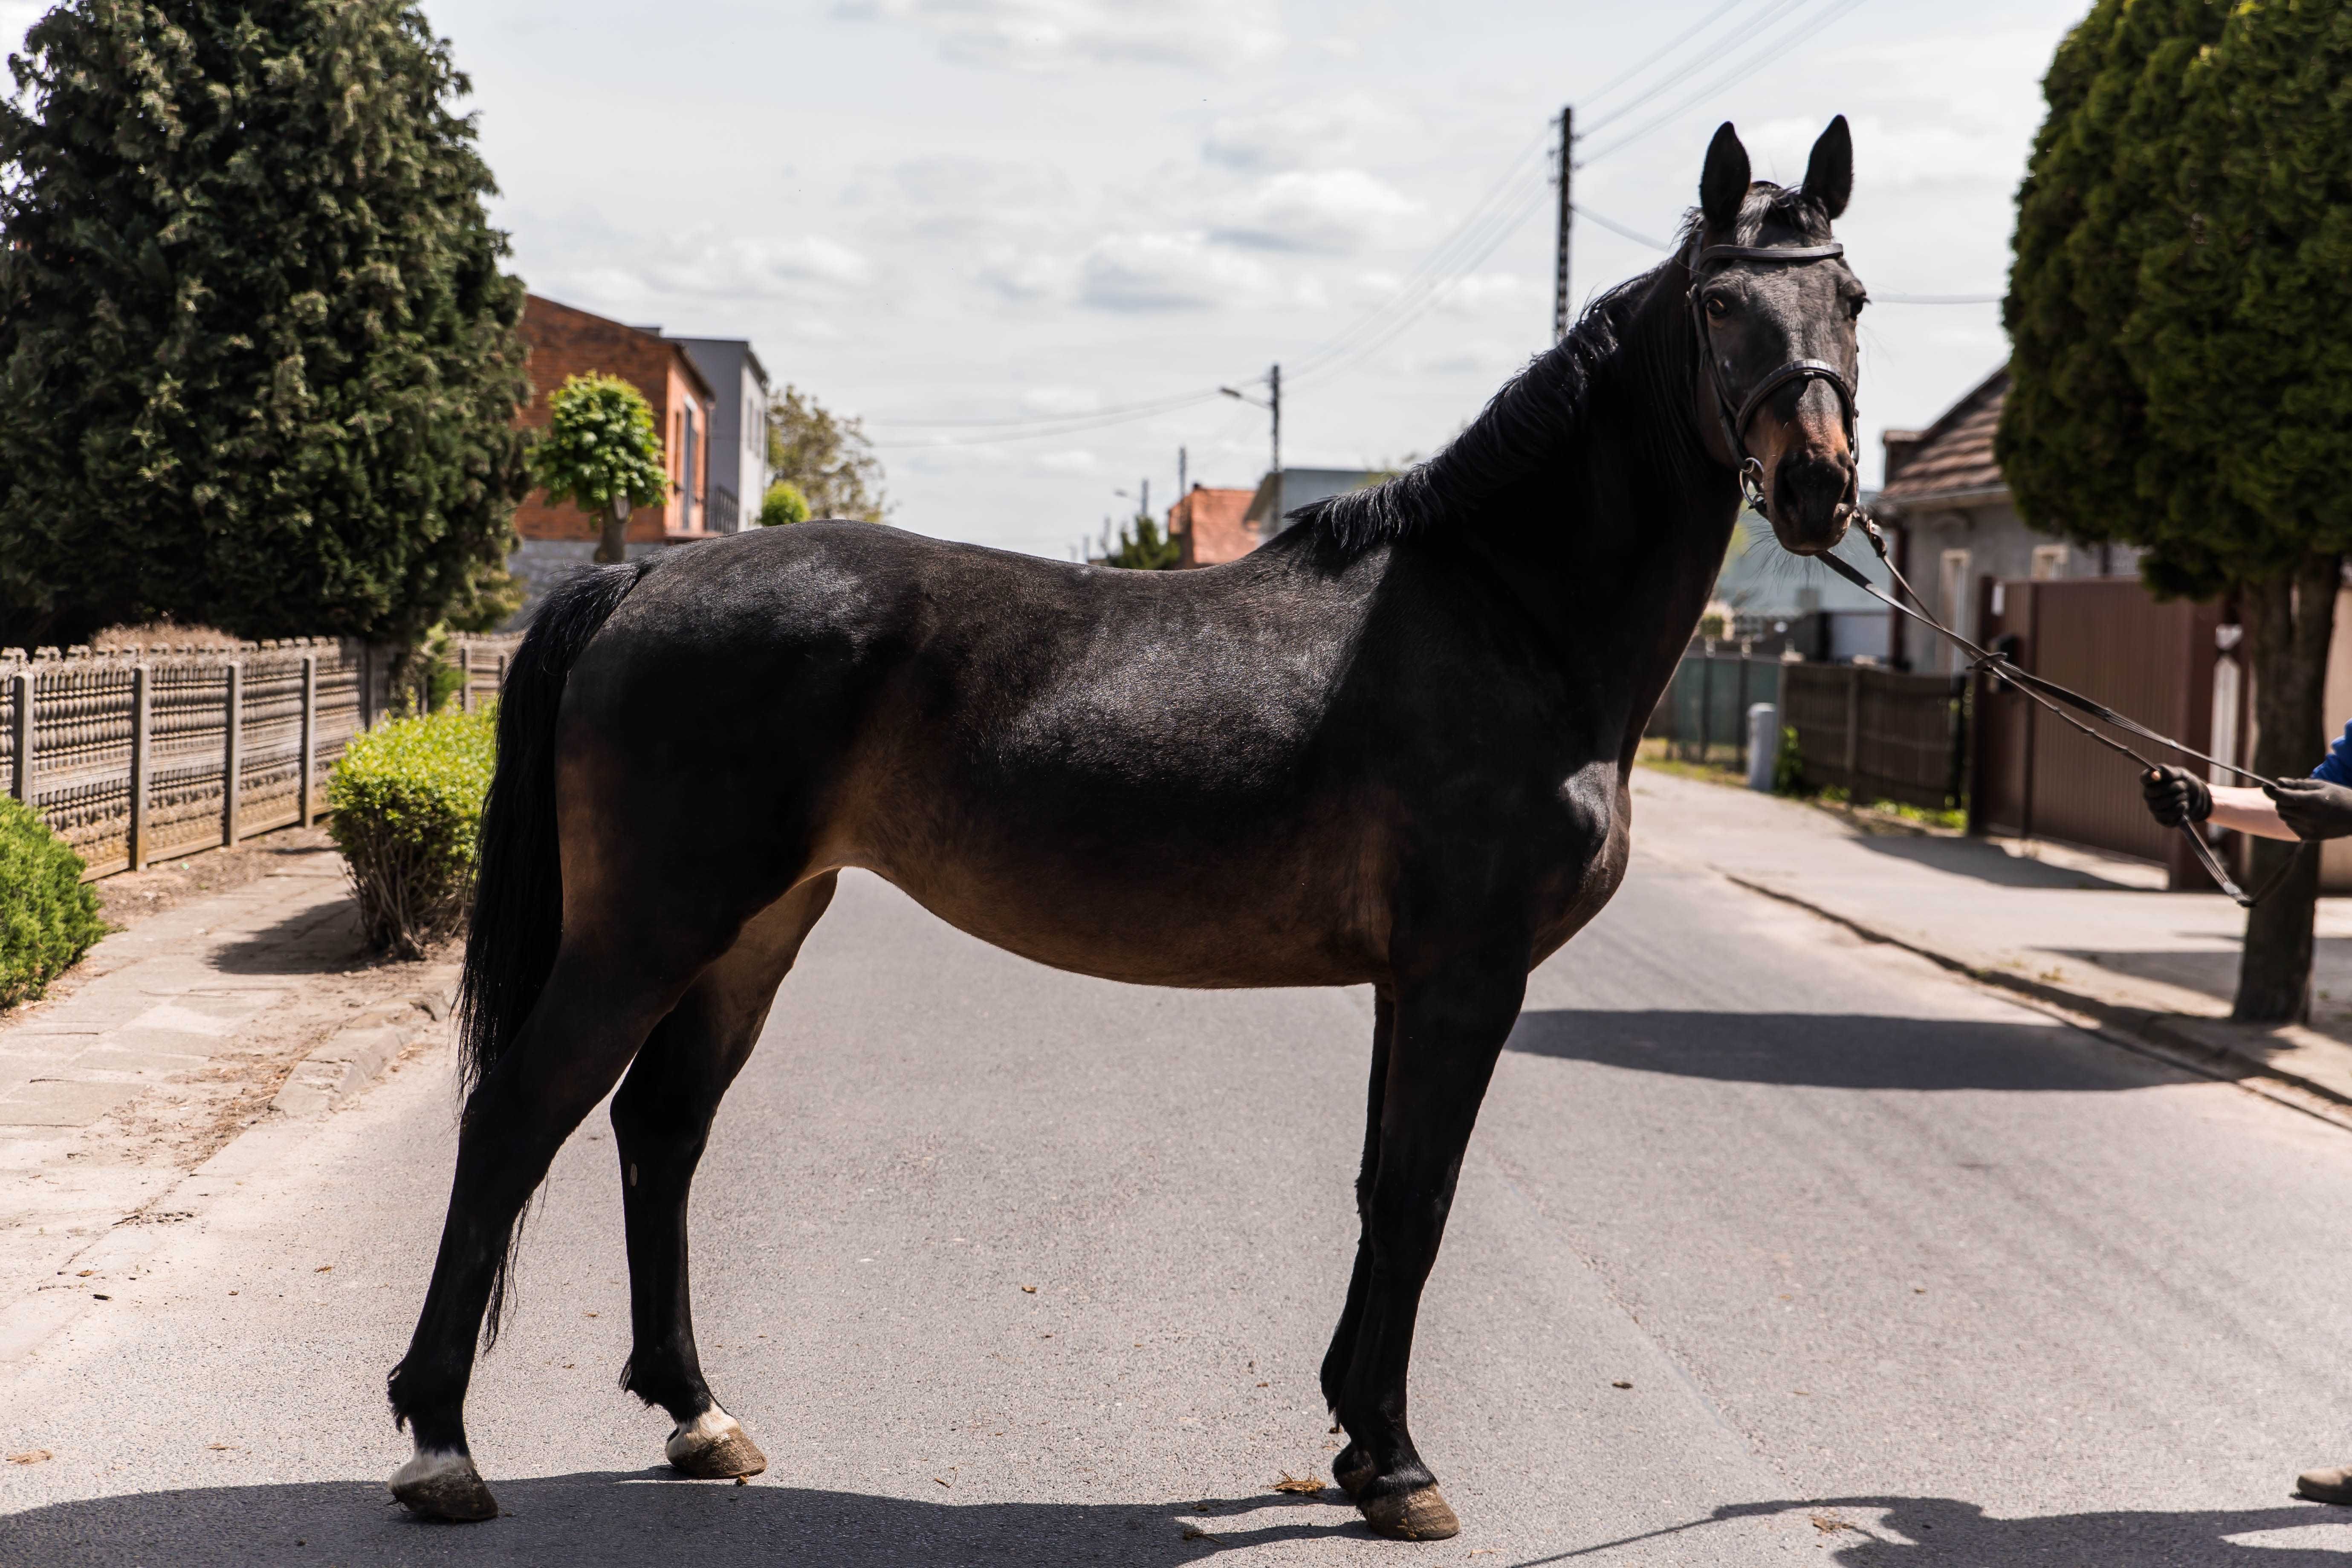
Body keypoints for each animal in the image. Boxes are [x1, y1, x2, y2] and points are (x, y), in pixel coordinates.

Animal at [385, 116, 1872, 1542]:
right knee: (518, 1114)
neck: (1506, 615)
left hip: (754, 927)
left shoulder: (1407, 982)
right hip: (649, 928)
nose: (1817, 486)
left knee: (661, 1126)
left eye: (1850, 296)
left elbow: (1377, 1187)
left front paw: (1353, 1436)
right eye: (1722, 302)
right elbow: (1419, 1197)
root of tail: (642, 581)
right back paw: (443, 1443)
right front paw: (1398, 1466)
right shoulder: (1466, 975)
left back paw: (698, 1415)